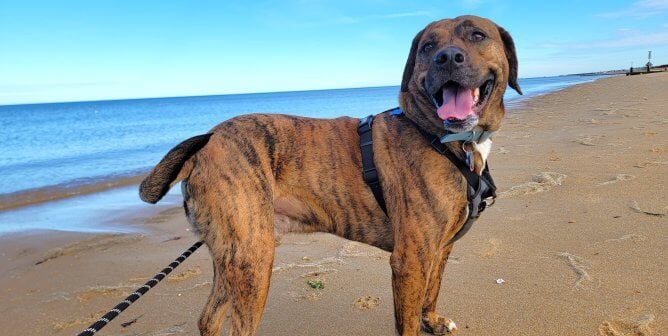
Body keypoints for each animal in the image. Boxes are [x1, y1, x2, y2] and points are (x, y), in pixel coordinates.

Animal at [141, 15, 520, 336]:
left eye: (477, 35)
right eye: (428, 46)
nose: (448, 58)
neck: (441, 136)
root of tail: (203, 147)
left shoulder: (439, 248)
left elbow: (433, 290)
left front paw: (432, 320)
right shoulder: (411, 260)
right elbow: (409, 319)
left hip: (232, 255)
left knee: (208, 317)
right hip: (253, 259)